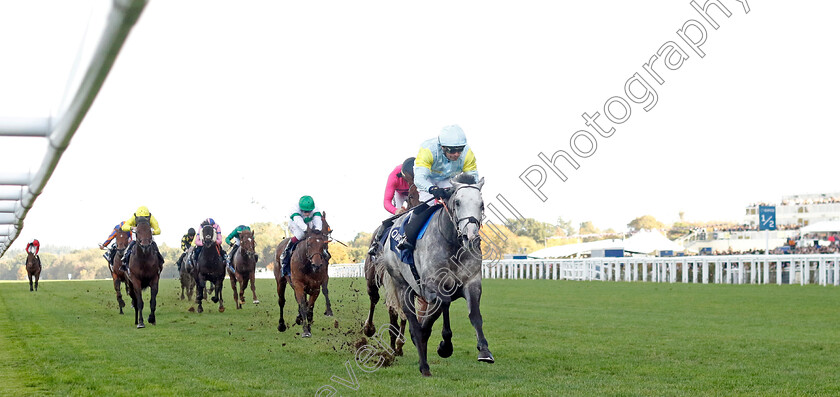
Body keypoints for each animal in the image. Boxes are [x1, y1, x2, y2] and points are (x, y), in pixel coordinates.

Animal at [374, 173, 492, 374]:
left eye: (481, 204)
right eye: (458, 202)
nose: (470, 236)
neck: (452, 242)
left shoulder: (471, 282)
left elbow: (474, 315)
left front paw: (484, 351)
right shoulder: (431, 285)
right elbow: (440, 306)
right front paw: (440, 344)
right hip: (402, 285)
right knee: (412, 319)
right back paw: (423, 363)